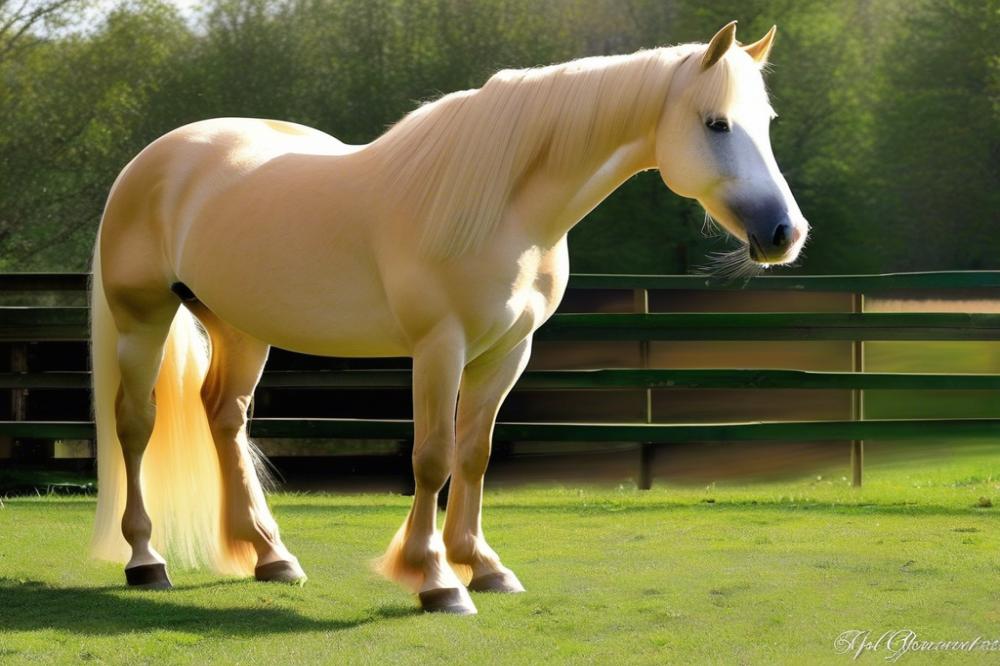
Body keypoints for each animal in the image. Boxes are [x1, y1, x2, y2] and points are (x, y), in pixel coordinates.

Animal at [92, 20, 812, 612]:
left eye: (769, 121)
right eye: (716, 123)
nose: (785, 233)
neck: (506, 208)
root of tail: (154, 160)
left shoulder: (508, 351)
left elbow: (474, 454)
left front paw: (483, 567)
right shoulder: (441, 347)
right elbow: (432, 457)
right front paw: (435, 579)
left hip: (240, 327)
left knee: (225, 416)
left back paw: (272, 556)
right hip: (143, 318)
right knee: (136, 423)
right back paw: (146, 559)